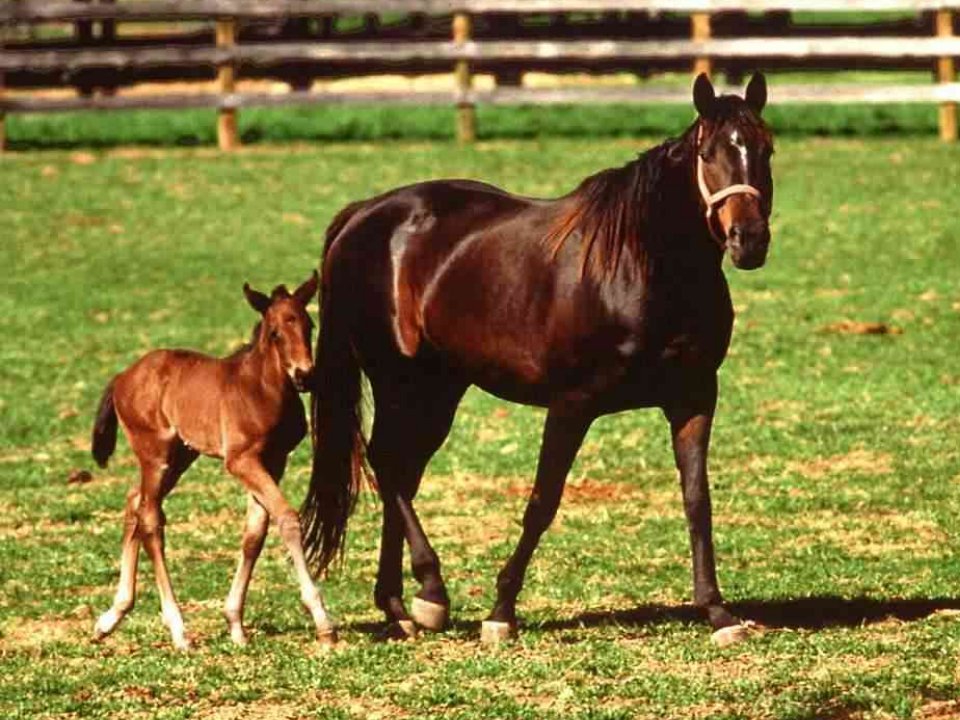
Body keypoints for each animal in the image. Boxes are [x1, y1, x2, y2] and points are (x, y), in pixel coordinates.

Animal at [91, 272, 338, 648]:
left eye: (309, 325)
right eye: (275, 332)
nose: (305, 375)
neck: (261, 389)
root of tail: (122, 377)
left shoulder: (274, 459)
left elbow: (254, 534)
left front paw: (235, 623)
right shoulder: (240, 460)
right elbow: (287, 518)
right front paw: (323, 622)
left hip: (181, 455)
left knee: (135, 501)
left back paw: (112, 616)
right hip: (155, 454)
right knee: (150, 518)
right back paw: (178, 630)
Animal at [304, 74, 776, 648]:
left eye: (766, 149)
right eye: (709, 154)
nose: (749, 240)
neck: (642, 267)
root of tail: (366, 214)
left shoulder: (693, 398)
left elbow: (696, 501)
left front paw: (718, 612)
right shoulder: (571, 405)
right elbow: (542, 502)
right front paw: (501, 612)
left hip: (438, 389)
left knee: (402, 471)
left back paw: (401, 605)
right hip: (398, 380)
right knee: (388, 465)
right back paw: (431, 590)